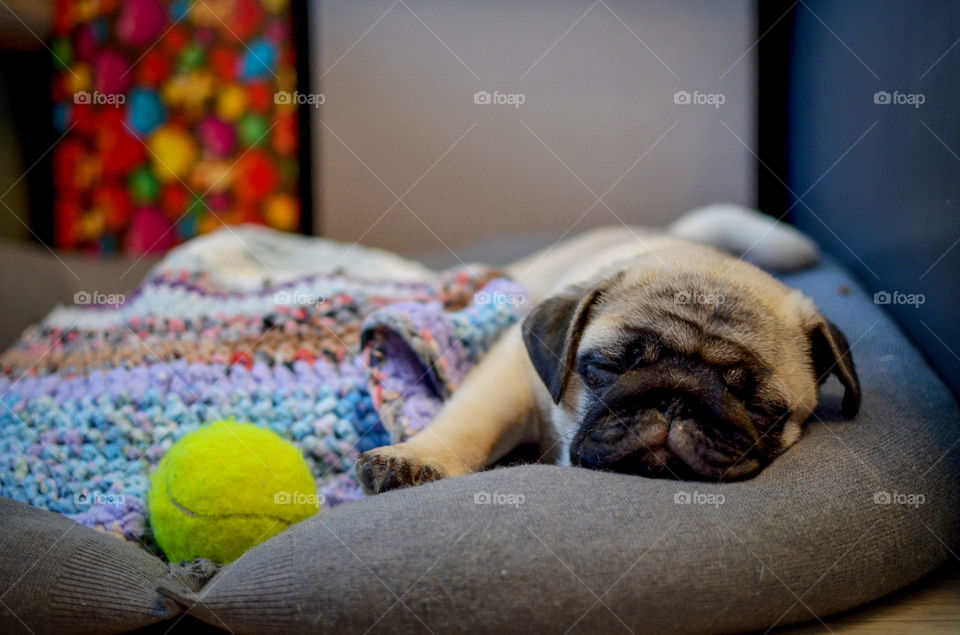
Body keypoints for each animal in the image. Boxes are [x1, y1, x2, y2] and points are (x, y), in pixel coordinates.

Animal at [354, 206, 864, 494]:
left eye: (761, 410)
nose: (675, 400)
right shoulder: (508, 374)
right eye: (605, 367)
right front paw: (415, 458)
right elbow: (470, 421)